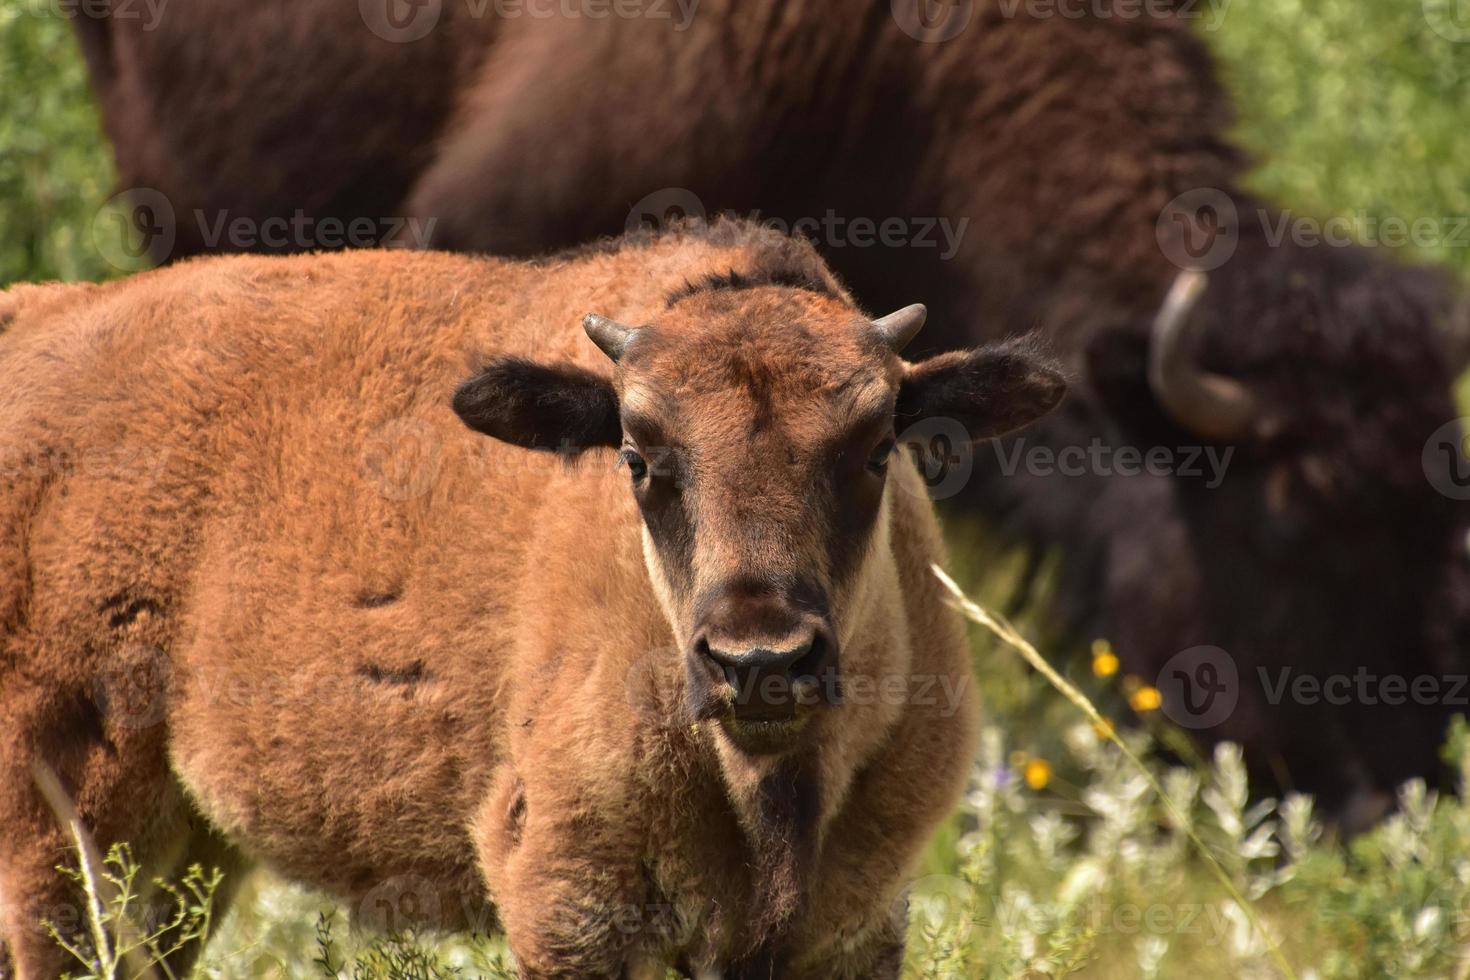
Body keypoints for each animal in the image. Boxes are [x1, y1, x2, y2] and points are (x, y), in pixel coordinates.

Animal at [0, 224, 1058, 980]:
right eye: (637, 455)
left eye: (877, 448)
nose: (760, 662)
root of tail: (35, 319)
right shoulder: (568, 905)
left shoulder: (853, 927)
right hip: (67, 834)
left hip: (187, 853)